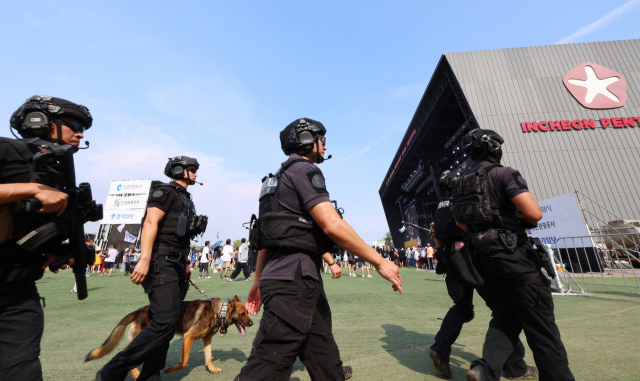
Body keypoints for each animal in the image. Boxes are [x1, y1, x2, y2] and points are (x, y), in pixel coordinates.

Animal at [84, 296, 252, 376]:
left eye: (247, 313)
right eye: (242, 314)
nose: (251, 323)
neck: (220, 312)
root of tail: (140, 310)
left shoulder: (206, 339)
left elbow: (208, 356)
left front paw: (212, 369)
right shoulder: (188, 337)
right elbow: (184, 362)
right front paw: (170, 370)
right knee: (121, 355)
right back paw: (136, 374)